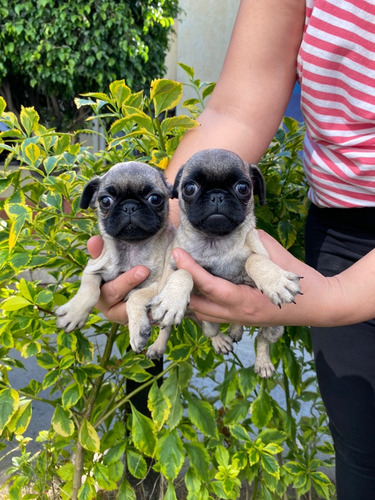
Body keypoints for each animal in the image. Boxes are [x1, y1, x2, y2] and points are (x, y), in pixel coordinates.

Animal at [55, 161, 176, 352]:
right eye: (105, 201)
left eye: (155, 199)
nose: (129, 206)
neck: (130, 247)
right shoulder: (94, 267)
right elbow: (89, 289)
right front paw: (74, 313)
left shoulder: (157, 284)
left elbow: (135, 296)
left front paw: (137, 331)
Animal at [147, 150, 302, 376]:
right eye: (189, 188)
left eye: (243, 187)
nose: (217, 195)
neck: (215, 241)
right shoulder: (175, 264)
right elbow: (183, 273)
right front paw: (173, 299)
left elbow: (254, 259)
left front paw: (275, 281)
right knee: (189, 328)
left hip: (276, 326)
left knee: (262, 339)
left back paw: (262, 362)